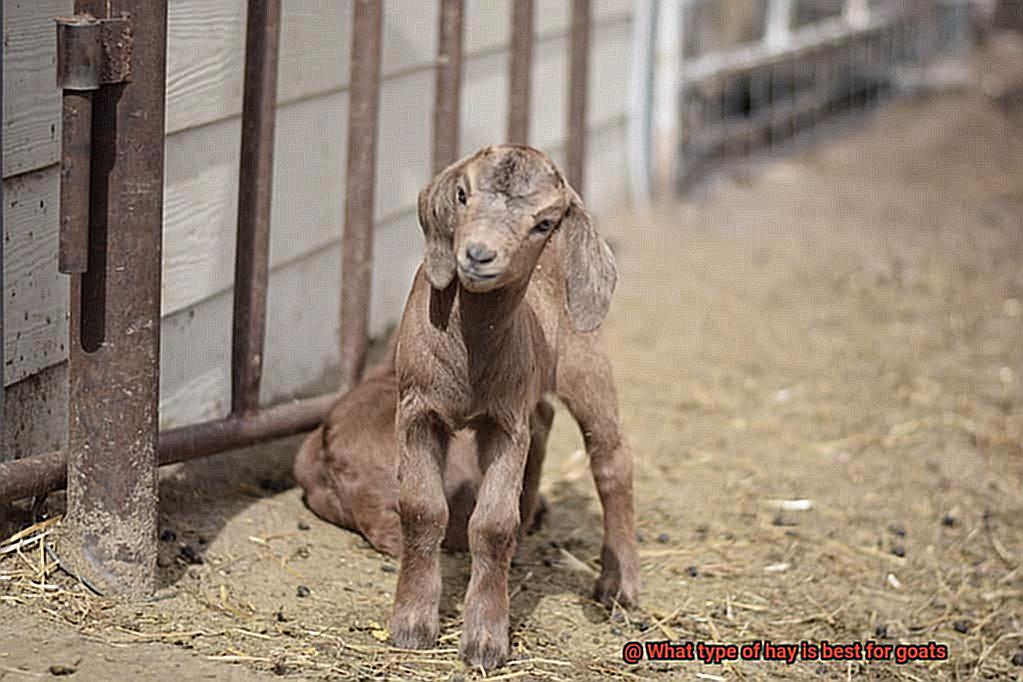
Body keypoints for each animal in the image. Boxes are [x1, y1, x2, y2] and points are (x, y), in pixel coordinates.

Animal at [390, 145, 638, 670]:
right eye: (462, 195)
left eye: (543, 222)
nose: (478, 254)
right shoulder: (417, 410)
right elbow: (421, 509)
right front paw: (412, 625)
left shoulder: (504, 425)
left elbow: (491, 525)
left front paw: (485, 641)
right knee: (542, 422)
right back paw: (529, 524)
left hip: (586, 361)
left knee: (611, 458)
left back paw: (619, 583)